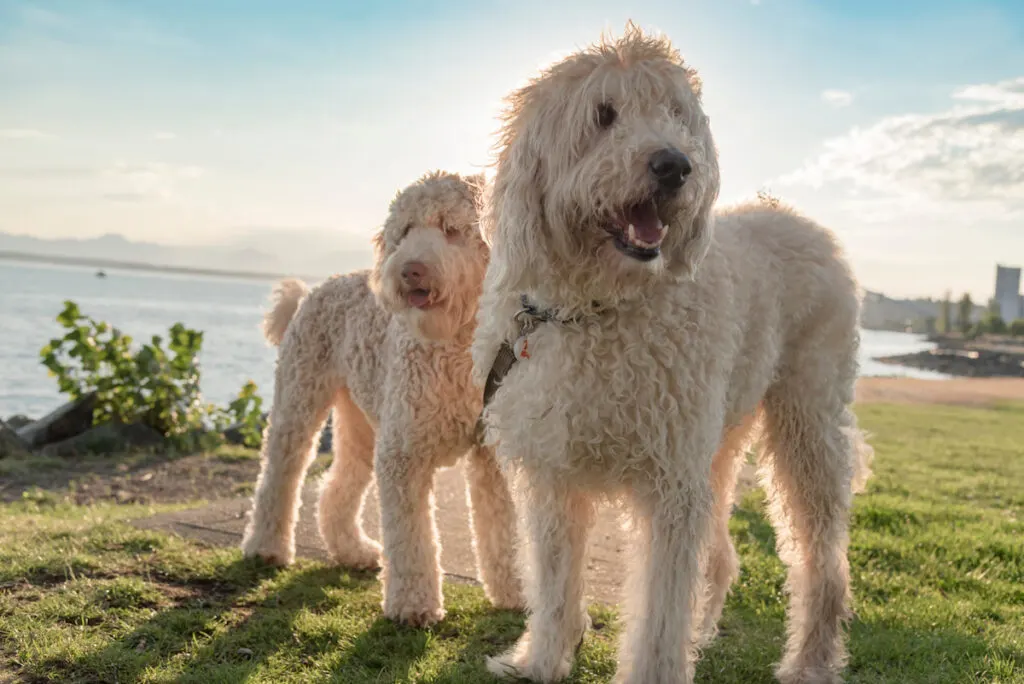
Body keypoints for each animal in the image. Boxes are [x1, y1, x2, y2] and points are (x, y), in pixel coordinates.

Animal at [243, 169, 524, 626]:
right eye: (405, 231)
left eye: (451, 228)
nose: (410, 270)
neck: (457, 345)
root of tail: (318, 288)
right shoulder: (403, 455)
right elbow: (411, 539)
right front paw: (413, 605)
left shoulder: (490, 455)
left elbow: (501, 531)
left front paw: (515, 593)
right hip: (299, 400)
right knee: (280, 475)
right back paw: (266, 547)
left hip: (360, 423)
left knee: (336, 487)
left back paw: (352, 550)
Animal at [471, 24, 872, 679]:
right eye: (603, 114)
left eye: (676, 115)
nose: (675, 166)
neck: (596, 310)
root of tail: (797, 219)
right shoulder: (554, 475)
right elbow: (554, 581)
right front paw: (542, 659)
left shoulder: (669, 485)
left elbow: (659, 612)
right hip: (720, 434)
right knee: (721, 555)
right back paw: (705, 630)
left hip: (805, 422)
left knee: (822, 559)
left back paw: (812, 658)